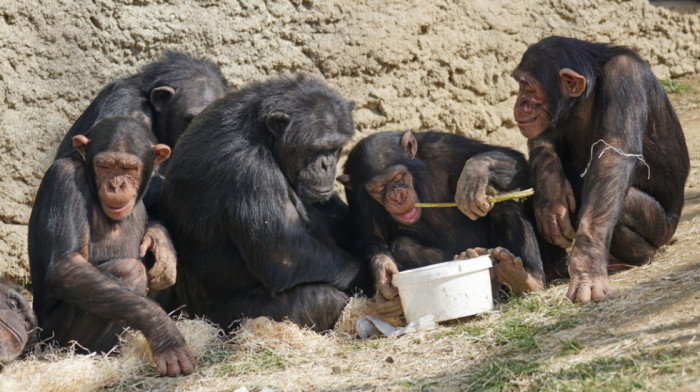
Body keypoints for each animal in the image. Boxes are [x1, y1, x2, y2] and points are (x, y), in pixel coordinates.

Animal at [28, 116, 194, 376]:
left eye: (128, 169)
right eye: (105, 166)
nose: (116, 185)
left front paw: (161, 244)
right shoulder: (65, 179)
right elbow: (67, 265)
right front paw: (163, 331)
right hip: (53, 337)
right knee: (130, 271)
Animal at [161, 73, 372, 330]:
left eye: (335, 148)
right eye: (314, 148)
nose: (327, 164)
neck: (265, 139)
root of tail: (187, 312)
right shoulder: (249, 169)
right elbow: (285, 254)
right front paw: (366, 274)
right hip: (223, 318)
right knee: (321, 299)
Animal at [340, 130, 548, 316]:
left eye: (398, 177)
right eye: (379, 188)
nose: (396, 195)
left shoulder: (444, 146)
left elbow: (515, 160)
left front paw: (475, 173)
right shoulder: (354, 194)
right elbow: (371, 237)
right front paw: (384, 276)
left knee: (504, 205)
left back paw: (525, 277)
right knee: (403, 245)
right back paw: (473, 261)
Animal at [512, 36, 692, 304]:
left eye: (528, 88)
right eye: (520, 85)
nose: (520, 103)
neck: (587, 96)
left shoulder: (625, 78)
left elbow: (614, 155)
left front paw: (587, 269)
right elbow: (545, 137)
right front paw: (551, 194)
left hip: (663, 229)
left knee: (613, 201)